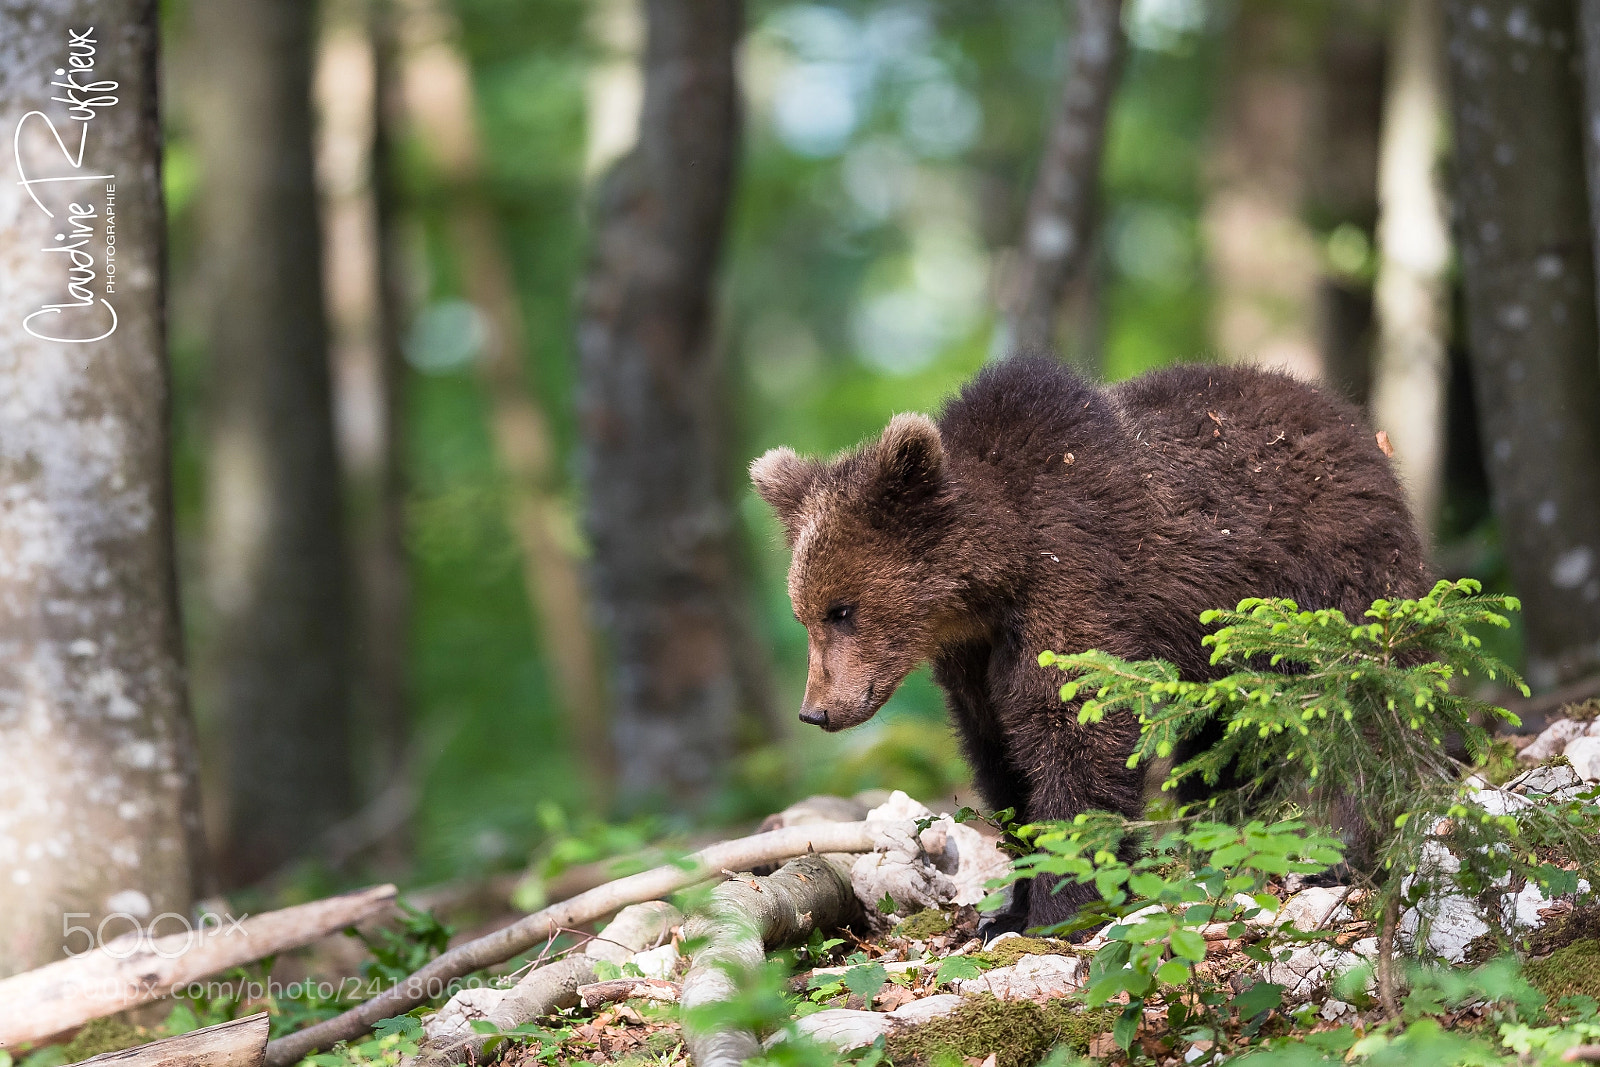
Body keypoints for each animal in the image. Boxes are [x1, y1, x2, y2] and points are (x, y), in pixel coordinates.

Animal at [750, 355, 1430, 933]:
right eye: (805, 614)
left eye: (842, 610)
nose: (817, 710)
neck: (996, 579)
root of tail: (1351, 422)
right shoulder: (974, 660)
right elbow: (1000, 758)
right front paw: (1008, 909)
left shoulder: (1076, 583)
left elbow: (1077, 731)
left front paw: (1061, 908)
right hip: (1231, 654)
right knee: (1226, 746)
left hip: (1333, 582)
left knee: (1377, 705)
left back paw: (1356, 845)